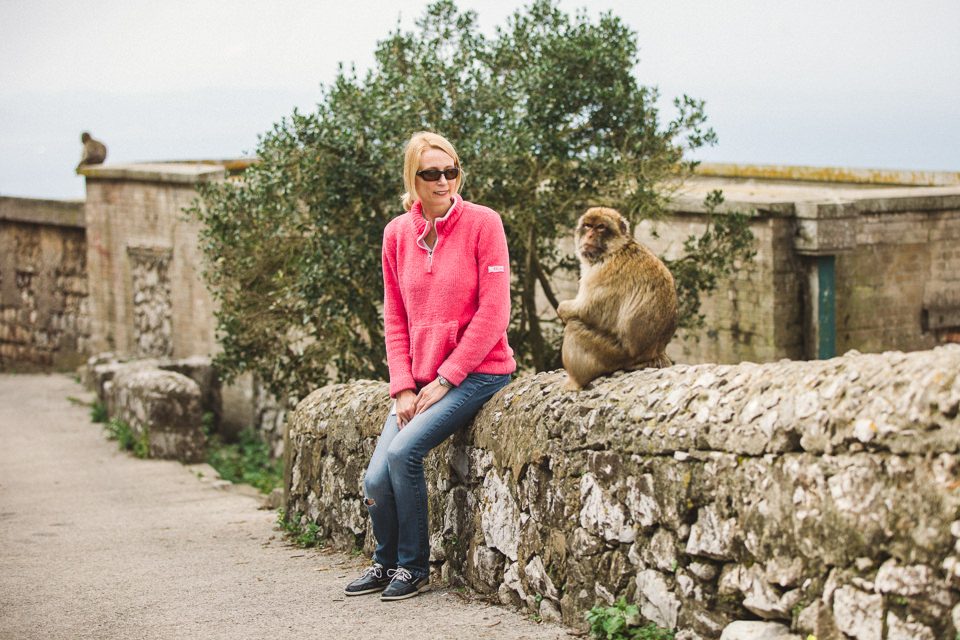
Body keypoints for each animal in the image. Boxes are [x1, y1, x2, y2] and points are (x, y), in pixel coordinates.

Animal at [552, 208, 680, 392]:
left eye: (600, 227)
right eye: (588, 225)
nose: (589, 235)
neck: (616, 249)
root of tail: (654, 352)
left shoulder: (603, 272)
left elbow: (587, 310)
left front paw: (562, 309)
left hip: (613, 354)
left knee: (574, 327)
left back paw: (576, 382)